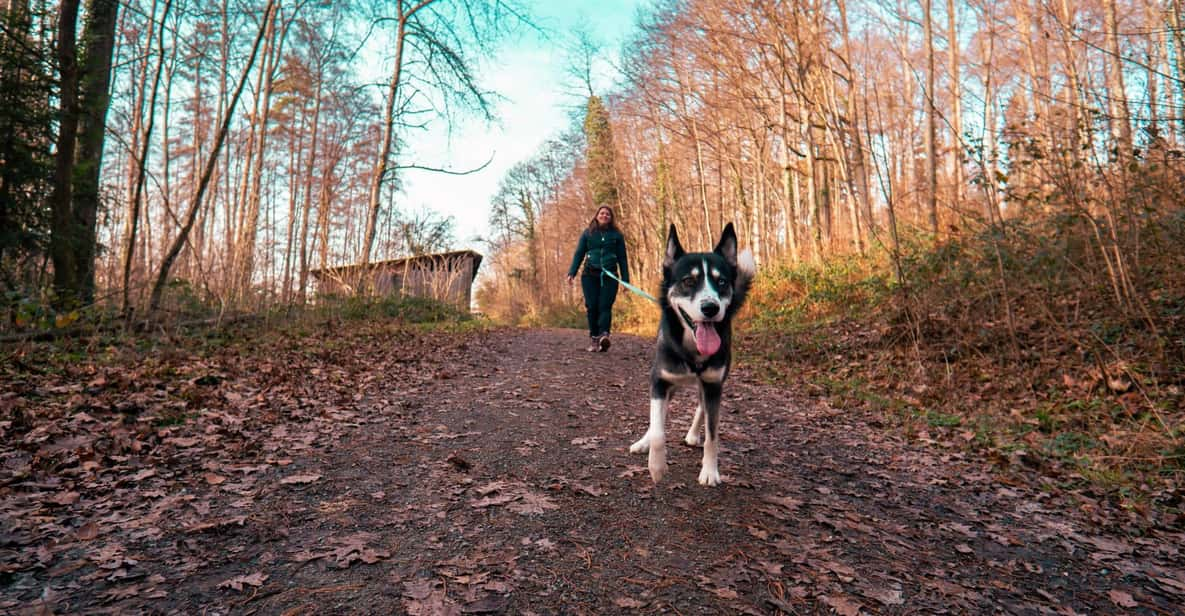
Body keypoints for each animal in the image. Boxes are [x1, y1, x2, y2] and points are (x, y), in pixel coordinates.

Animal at [625, 221, 753, 485]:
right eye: (688, 281)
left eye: (721, 282)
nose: (710, 307)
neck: (692, 349)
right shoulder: (660, 380)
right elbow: (658, 429)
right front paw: (656, 466)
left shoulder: (714, 385)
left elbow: (713, 436)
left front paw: (710, 471)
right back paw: (643, 442)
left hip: (709, 385)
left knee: (701, 408)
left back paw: (694, 435)